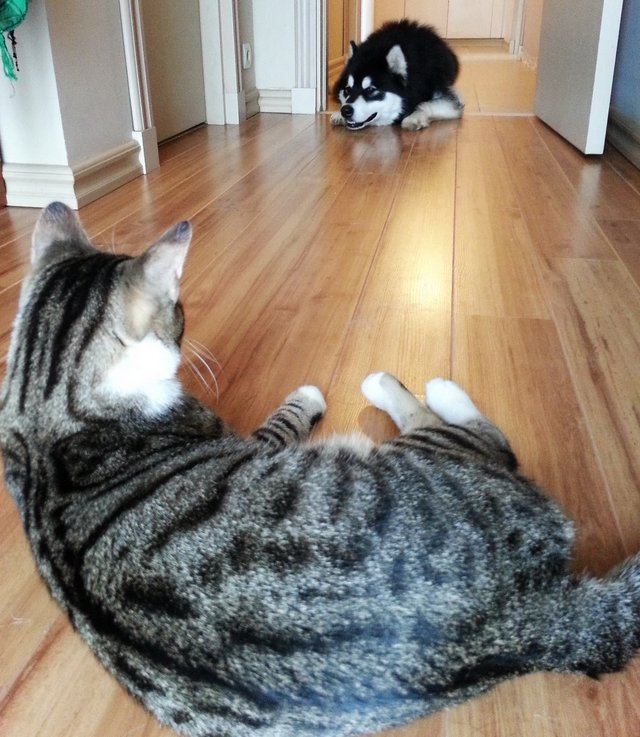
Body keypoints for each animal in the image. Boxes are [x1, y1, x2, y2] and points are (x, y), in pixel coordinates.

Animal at [1, 204, 640, 736]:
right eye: (178, 310)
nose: (185, 326)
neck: (44, 407)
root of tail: (536, 617)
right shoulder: (248, 439)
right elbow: (286, 418)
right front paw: (308, 396)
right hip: (434, 458)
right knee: (485, 435)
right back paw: (411, 384)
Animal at [332, 20, 462, 132]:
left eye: (370, 90)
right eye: (347, 90)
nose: (345, 111)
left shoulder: (450, 101)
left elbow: (425, 104)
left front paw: (414, 117)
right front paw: (339, 113)